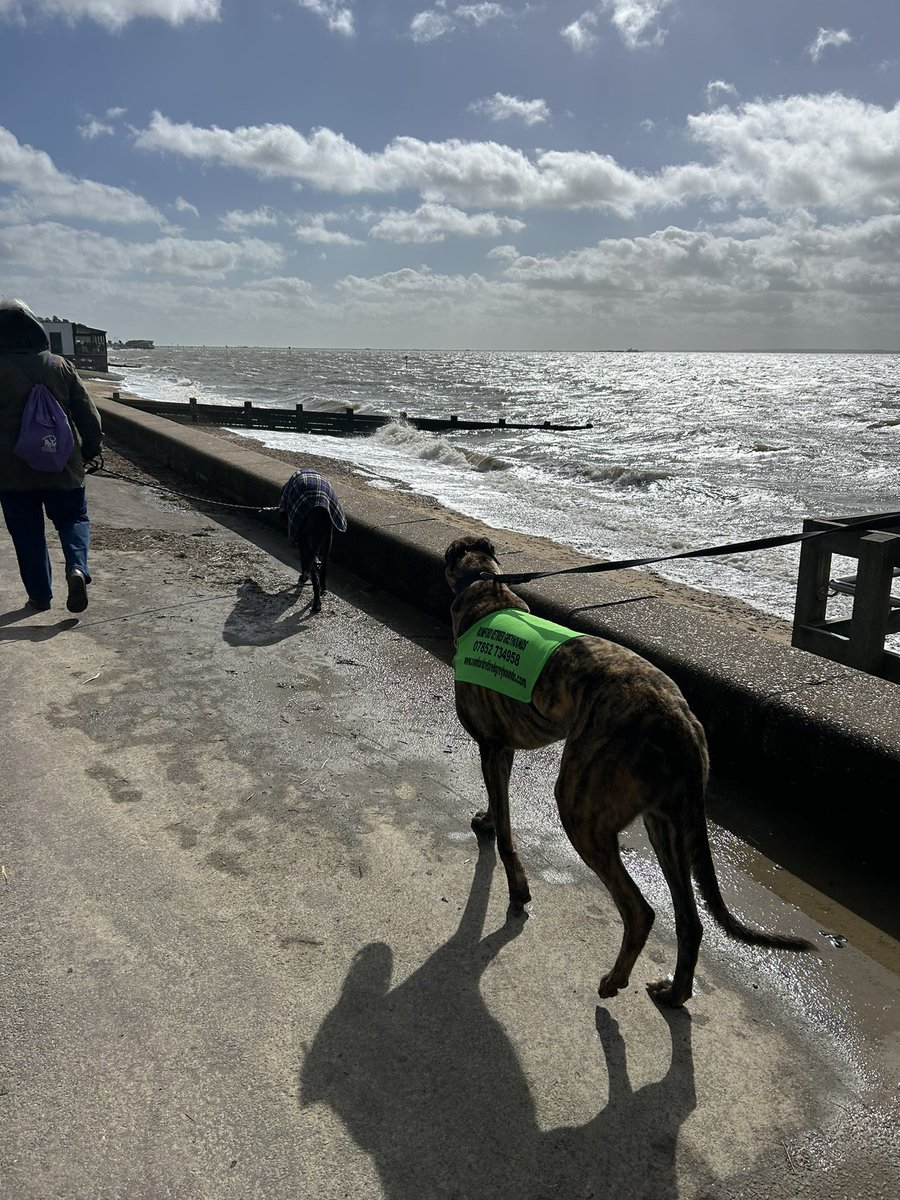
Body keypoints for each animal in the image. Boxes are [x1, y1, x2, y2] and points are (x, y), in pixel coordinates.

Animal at [280, 468, 348, 614]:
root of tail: (319, 508)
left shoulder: (302, 539)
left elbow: (304, 561)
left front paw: (304, 576)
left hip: (308, 539)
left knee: (314, 573)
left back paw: (316, 603)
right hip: (328, 537)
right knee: (324, 566)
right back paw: (323, 588)